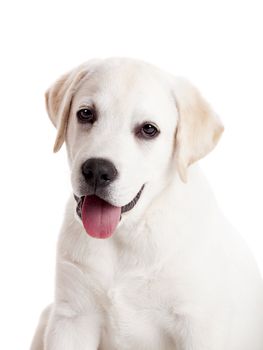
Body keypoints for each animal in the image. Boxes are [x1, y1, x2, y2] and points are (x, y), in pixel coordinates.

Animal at [30, 58, 263, 350]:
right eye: (85, 114)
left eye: (149, 129)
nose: (97, 170)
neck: (127, 236)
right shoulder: (71, 318)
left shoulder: (198, 326)